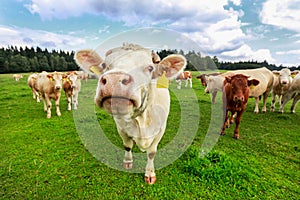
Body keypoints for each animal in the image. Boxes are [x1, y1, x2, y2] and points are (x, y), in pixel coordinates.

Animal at [75, 43, 186, 184]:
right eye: (104, 65)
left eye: (150, 68)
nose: (114, 79)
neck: (142, 118)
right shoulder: (121, 127)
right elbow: (127, 146)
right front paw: (128, 161)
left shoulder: (161, 129)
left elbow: (151, 152)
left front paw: (150, 173)